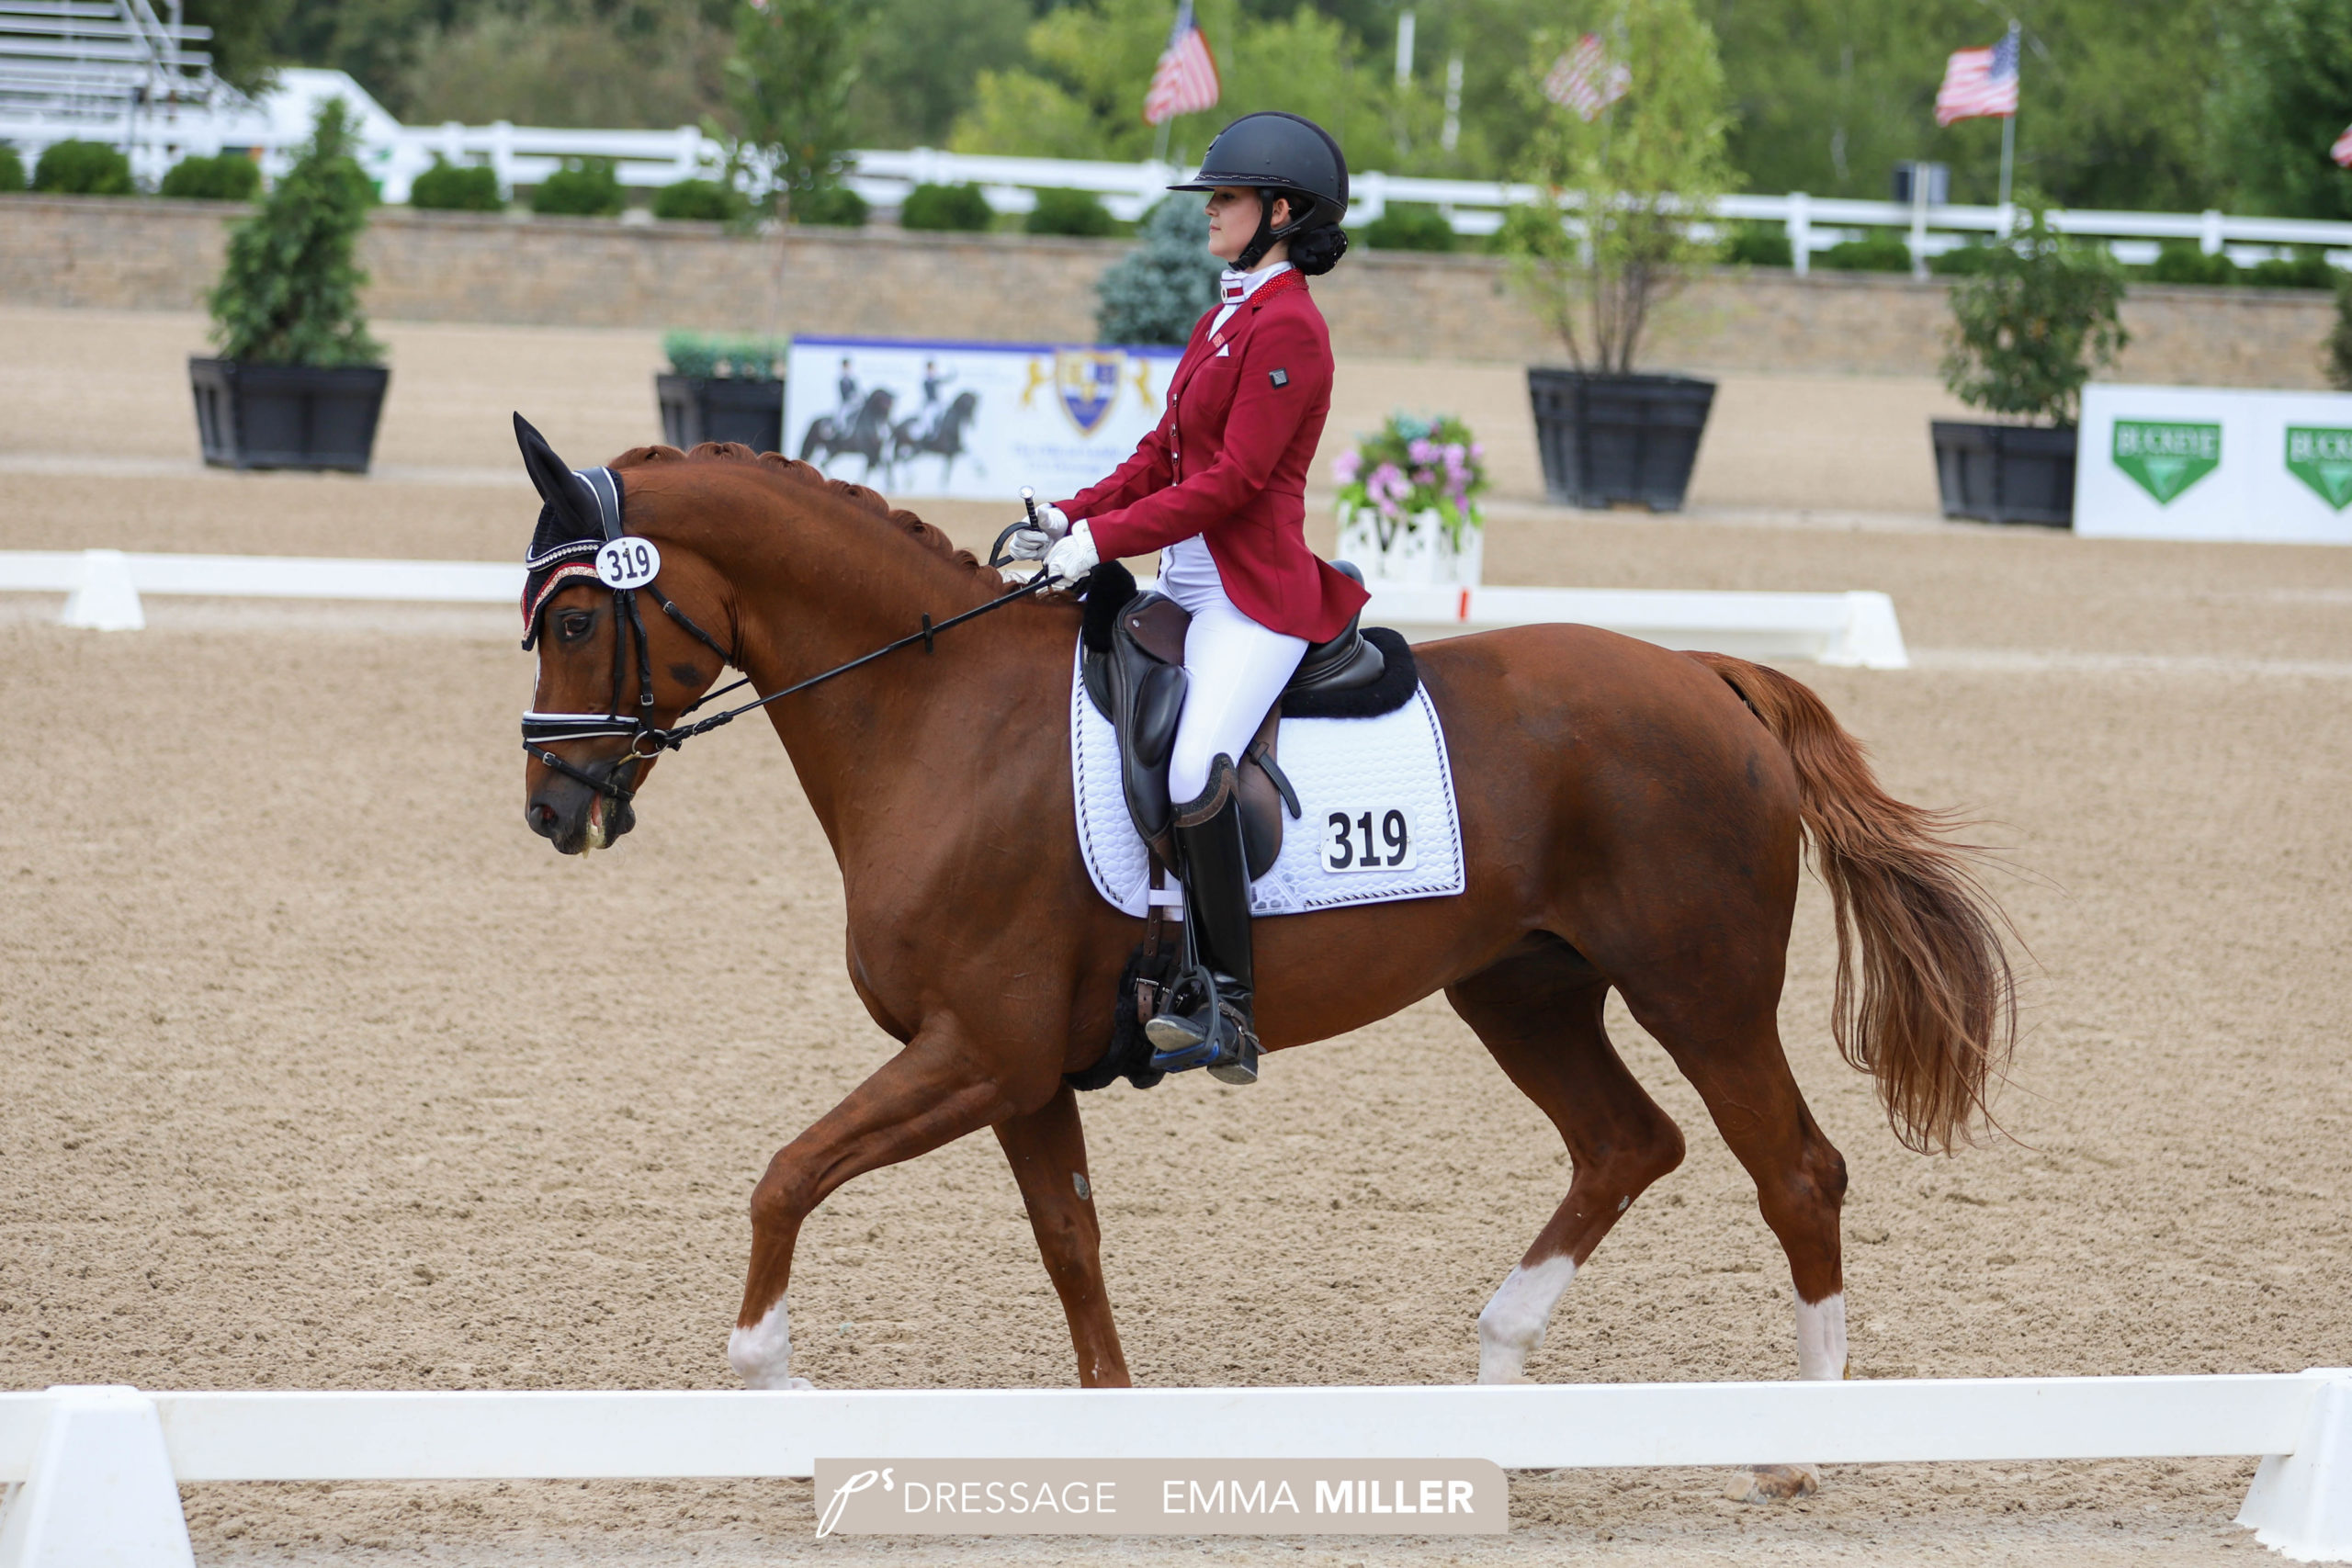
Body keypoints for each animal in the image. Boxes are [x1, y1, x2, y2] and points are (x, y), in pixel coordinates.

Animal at [524, 434, 2013, 1457]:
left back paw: (1798, 1450)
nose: (550, 810)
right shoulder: (1021, 1073)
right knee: (1625, 1144)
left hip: (1699, 992)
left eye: (581, 618)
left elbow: (785, 1177)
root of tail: (1706, 673)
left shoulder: (979, 1051)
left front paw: (770, 1377)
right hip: (1522, 989)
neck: (941, 719)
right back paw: (1501, 1371)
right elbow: (1069, 1239)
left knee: (1798, 1175)